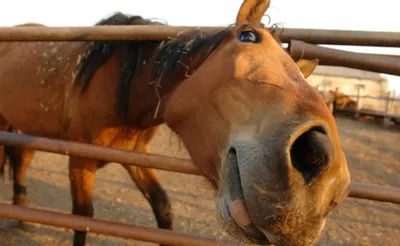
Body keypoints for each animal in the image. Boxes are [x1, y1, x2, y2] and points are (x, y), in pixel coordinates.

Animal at [0, 0, 350, 245]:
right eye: (248, 36)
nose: (328, 179)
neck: (121, 85)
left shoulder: (135, 154)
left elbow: (163, 209)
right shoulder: (80, 159)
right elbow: (83, 218)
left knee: (21, 158)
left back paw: (22, 210)